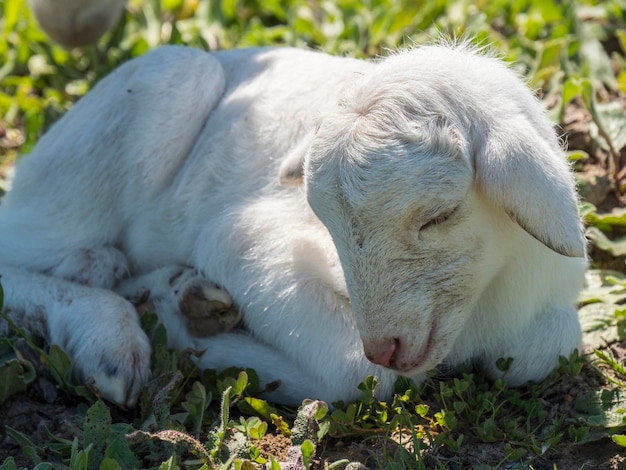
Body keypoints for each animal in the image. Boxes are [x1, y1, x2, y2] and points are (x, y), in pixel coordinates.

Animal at [0, 43, 584, 408]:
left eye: (440, 215)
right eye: (325, 223)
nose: (385, 345)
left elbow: (547, 347)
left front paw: (185, 310)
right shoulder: (243, 239)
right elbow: (358, 376)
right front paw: (189, 337)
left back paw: (168, 288)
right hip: (158, 92)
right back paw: (110, 331)